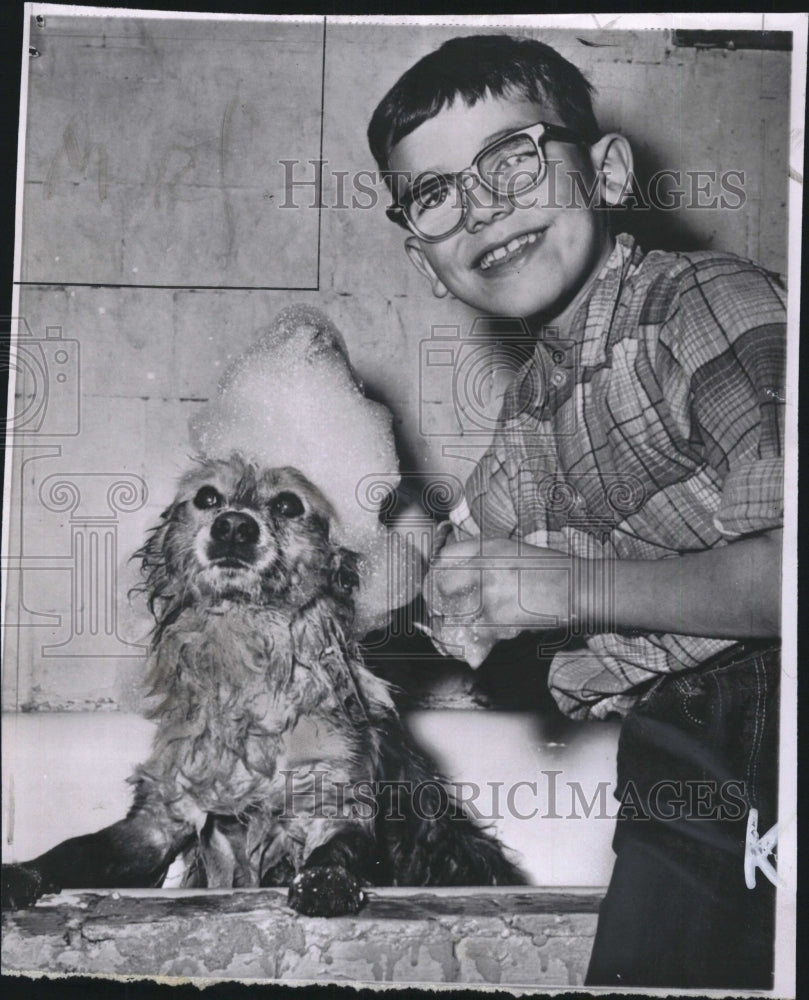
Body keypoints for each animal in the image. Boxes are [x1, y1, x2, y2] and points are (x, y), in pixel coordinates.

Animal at [3, 454, 520, 916]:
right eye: (207, 497)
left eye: (289, 504)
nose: (234, 527)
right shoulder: (158, 818)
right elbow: (74, 849)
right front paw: (22, 873)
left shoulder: (333, 799)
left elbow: (335, 851)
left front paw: (324, 883)